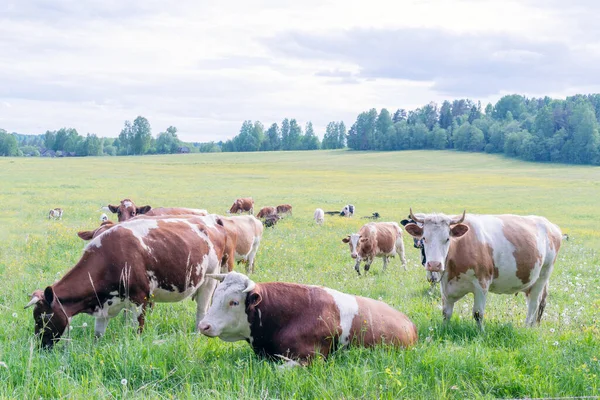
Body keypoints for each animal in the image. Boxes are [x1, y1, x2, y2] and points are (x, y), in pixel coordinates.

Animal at [25, 214, 227, 348]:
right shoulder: (105, 303)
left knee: (201, 310)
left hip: (209, 280)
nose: (40, 345)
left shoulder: (140, 298)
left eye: (43, 317)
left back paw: (197, 334)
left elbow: (137, 330)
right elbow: (98, 334)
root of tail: (212, 219)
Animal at [404, 208, 564, 330]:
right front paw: (444, 329)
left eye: (447, 239)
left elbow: (477, 313)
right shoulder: (447, 286)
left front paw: (481, 333)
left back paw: (526, 327)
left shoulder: (482, 284)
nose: (434, 264)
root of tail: (551, 226)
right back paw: (533, 325)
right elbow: (446, 312)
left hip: (543, 275)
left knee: (534, 303)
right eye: (424, 238)